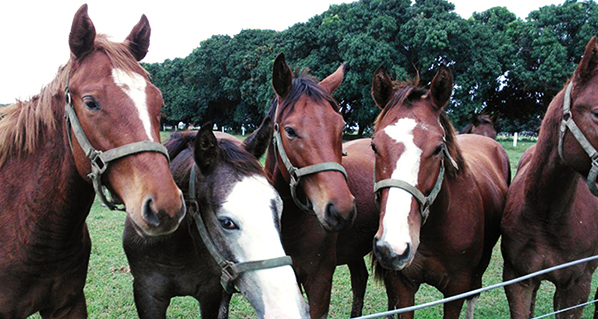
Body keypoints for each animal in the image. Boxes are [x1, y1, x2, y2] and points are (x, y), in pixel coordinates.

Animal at [122, 123, 310, 319]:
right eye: (226, 222)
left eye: (279, 208)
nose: (287, 311)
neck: (173, 250)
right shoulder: (147, 295)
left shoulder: (211, 293)